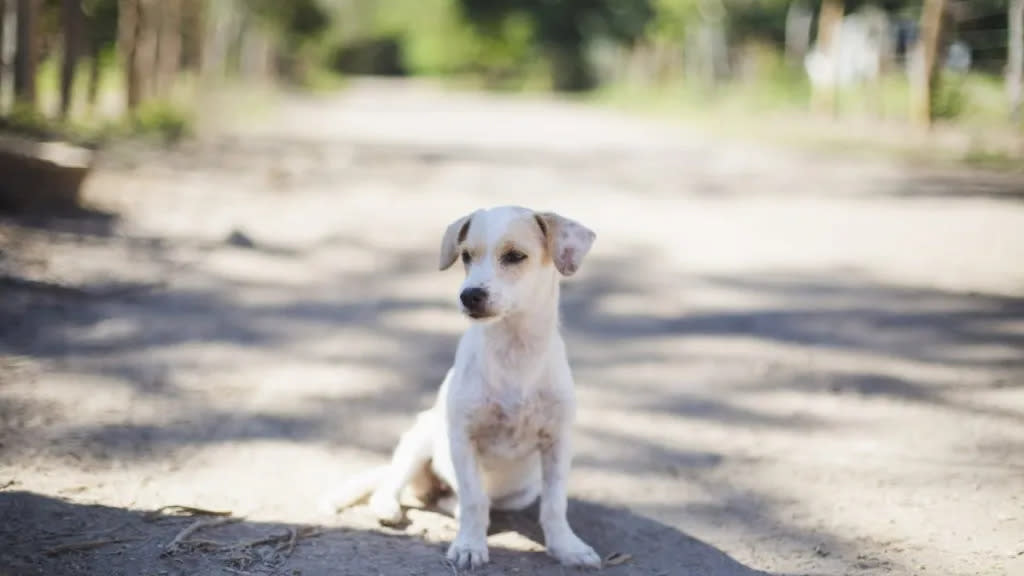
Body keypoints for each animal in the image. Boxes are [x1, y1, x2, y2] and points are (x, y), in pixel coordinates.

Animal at [323, 203, 598, 565]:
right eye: (466, 255)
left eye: (515, 256)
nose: (469, 296)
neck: (513, 351)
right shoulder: (463, 438)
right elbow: (473, 500)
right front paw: (469, 545)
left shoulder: (557, 442)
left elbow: (554, 505)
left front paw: (567, 546)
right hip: (419, 439)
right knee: (394, 482)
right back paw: (388, 507)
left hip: (521, 491)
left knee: (460, 500)